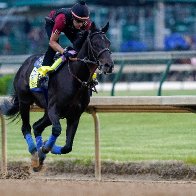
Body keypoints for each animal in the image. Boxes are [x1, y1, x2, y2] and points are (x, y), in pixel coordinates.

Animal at [0, 22, 113, 171]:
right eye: (95, 43)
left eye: (108, 42)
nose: (109, 65)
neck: (75, 78)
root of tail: (24, 64)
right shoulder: (54, 109)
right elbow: (57, 130)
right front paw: (45, 148)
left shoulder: (74, 115)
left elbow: (67, 147)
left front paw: (46, 147)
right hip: (25, 102)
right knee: (26, 127)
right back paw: (34, 151)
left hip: (47, 113)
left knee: (37, 126)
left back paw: (40, 155)